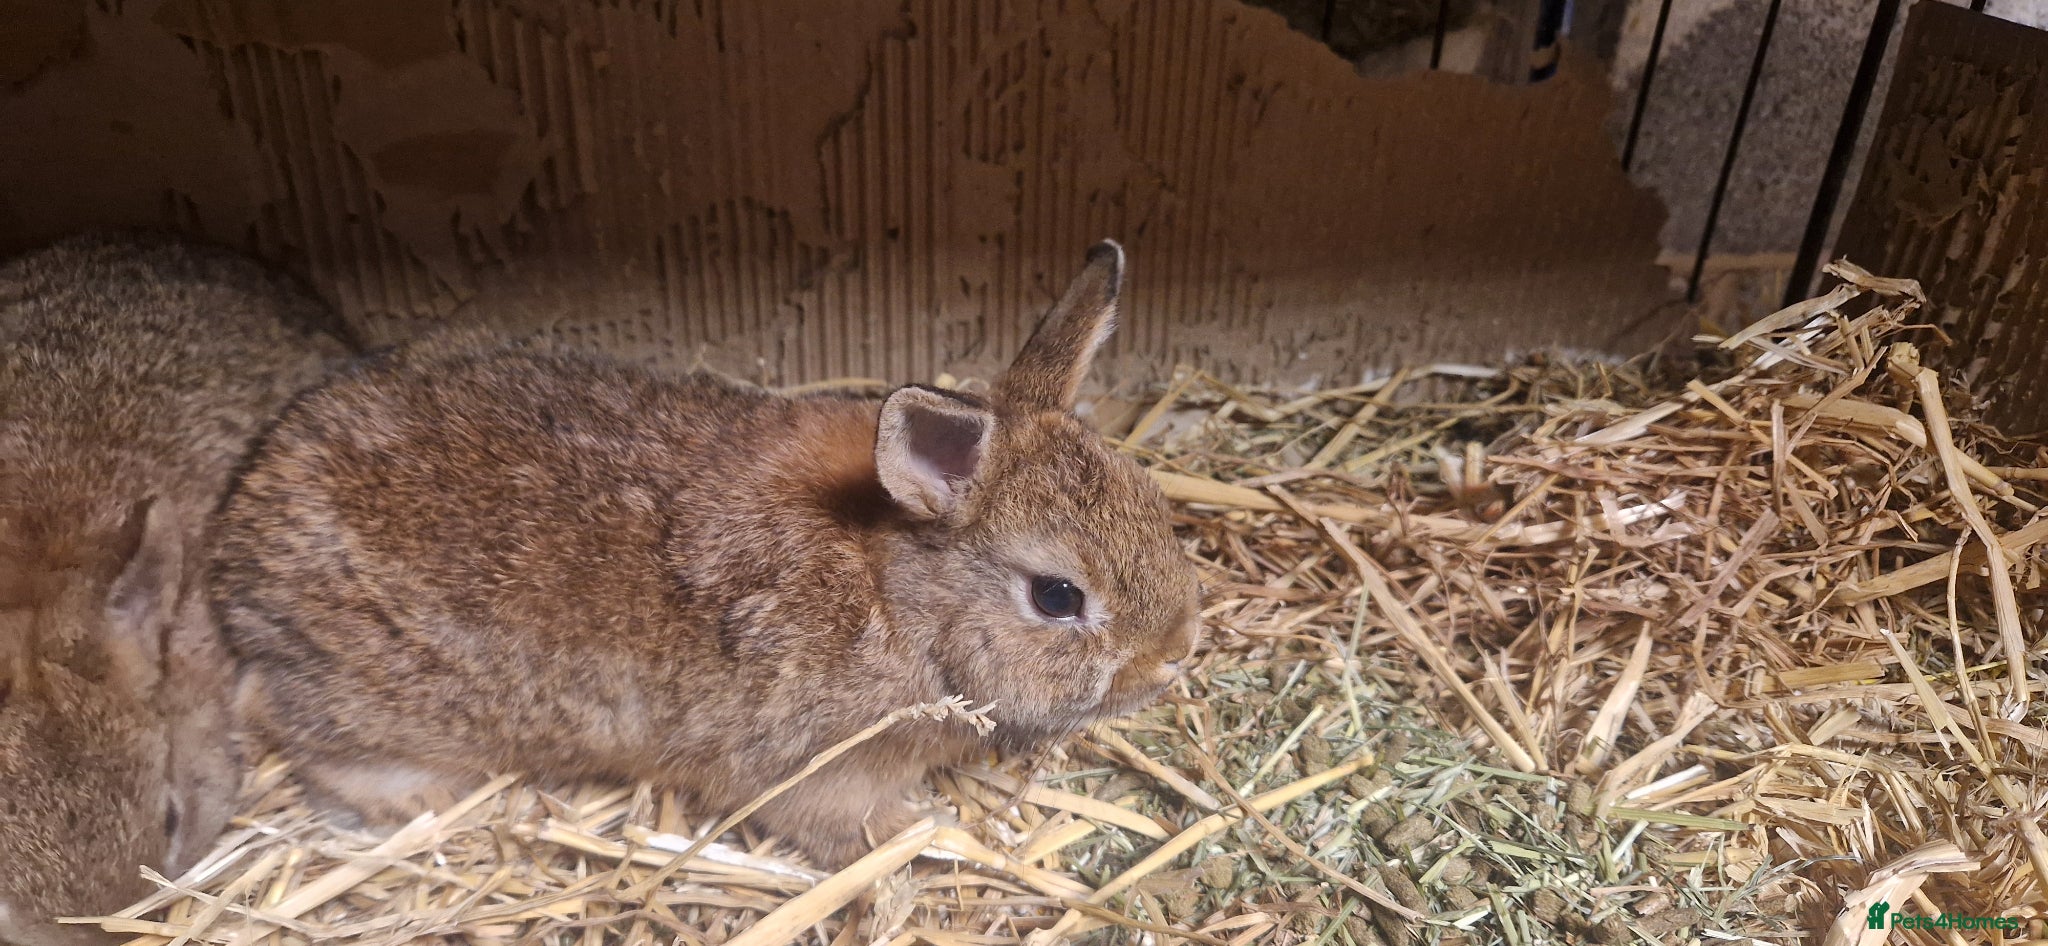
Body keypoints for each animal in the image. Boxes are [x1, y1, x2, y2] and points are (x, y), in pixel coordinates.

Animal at [210, 240, 1200, 868]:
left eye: (1155, 505)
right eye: (1058, 597)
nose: (1174, 657)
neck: (896, 596)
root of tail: (241, 526)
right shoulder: (814, 762)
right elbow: (845, 825)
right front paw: (932, 841)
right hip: (372, 695)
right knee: (296, 726)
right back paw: (410, 802)